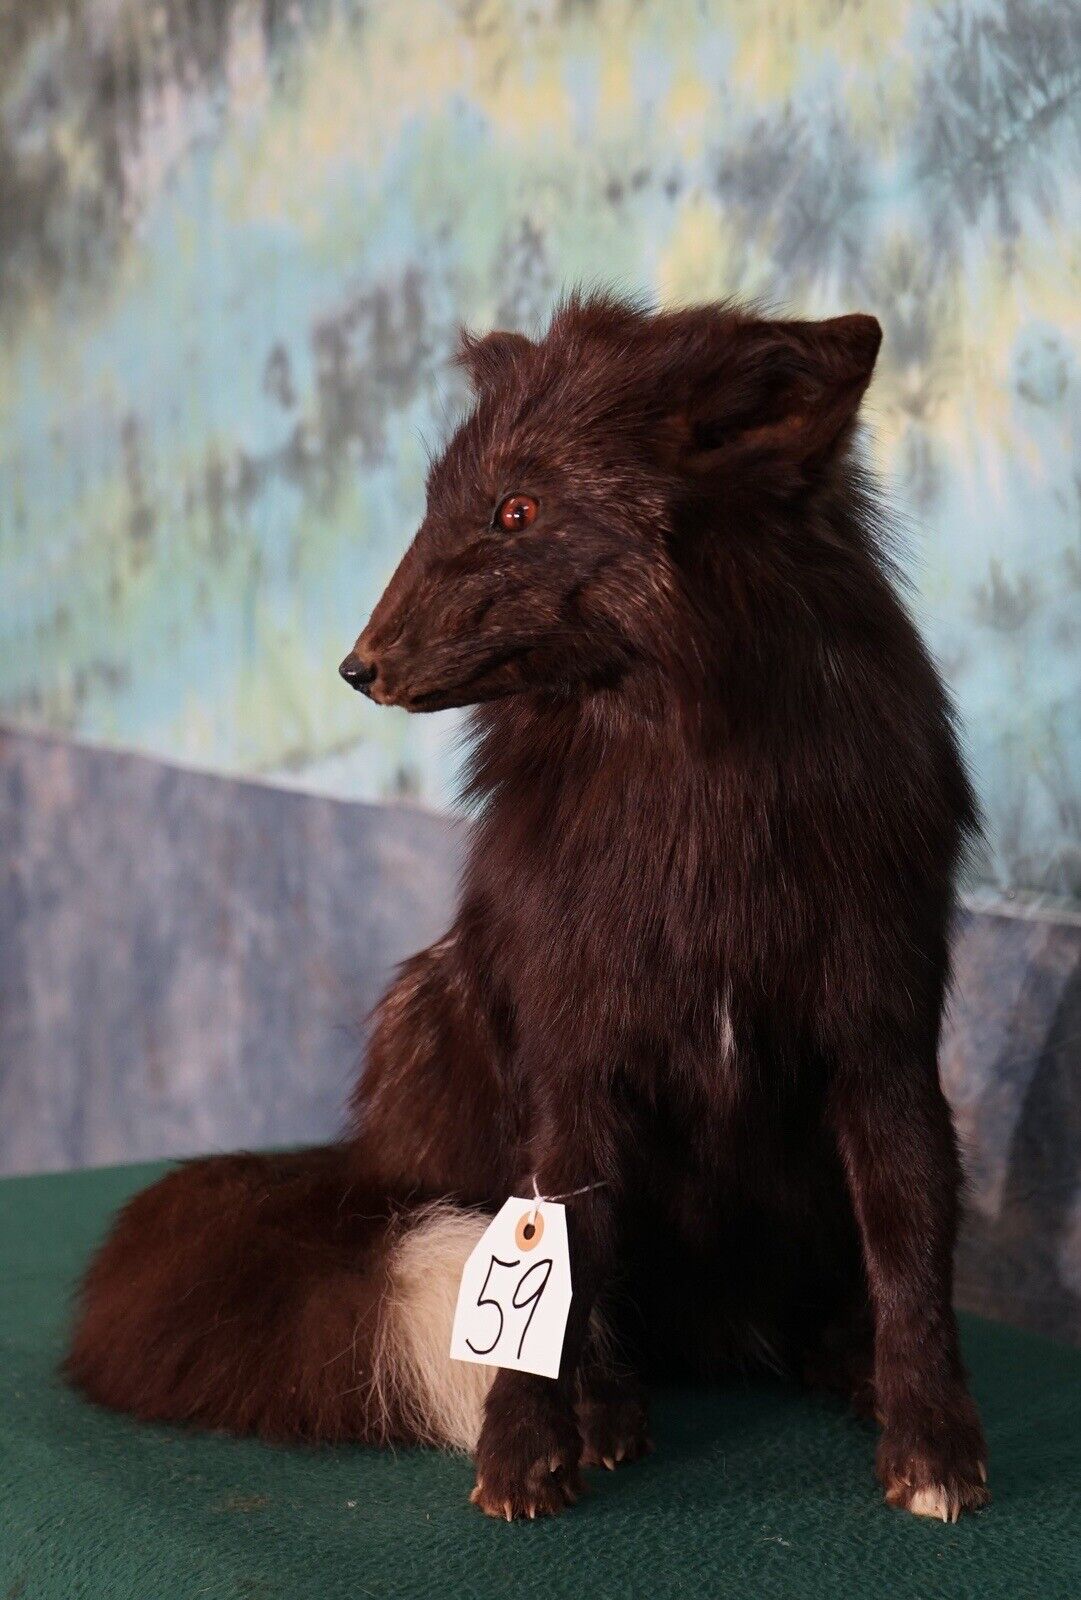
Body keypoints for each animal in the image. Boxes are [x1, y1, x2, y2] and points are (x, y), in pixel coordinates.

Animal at [67, 293, 990, 1523]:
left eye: (517, 510)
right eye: (436, 506)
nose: (358, 667)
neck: (693, 795)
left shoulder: (881, 1037)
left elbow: (910, 1247)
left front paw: (930, 1437)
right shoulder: (574, 1053)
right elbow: (558, 1252)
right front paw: (532, 1440)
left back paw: (838, 1364)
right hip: (429, 1009)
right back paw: (607, 1406)